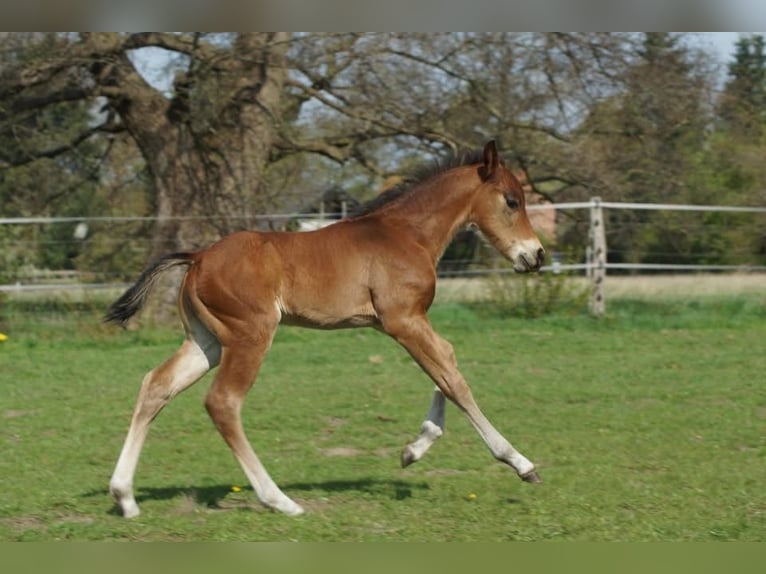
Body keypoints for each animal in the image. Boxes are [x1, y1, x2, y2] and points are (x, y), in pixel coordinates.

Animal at [105, 140, 545, 518]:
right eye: (512, 200)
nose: (536, 255)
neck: (406, 233)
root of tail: (198, 257)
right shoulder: (402, 320)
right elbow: (453, 379)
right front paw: (520, 463)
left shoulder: (408, 322)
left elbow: (447, 363)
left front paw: (413, 450)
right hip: (250, 336)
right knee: (223, 403)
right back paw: (279, 500)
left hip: (207, 342)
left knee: (156, 386)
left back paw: (125, 497)